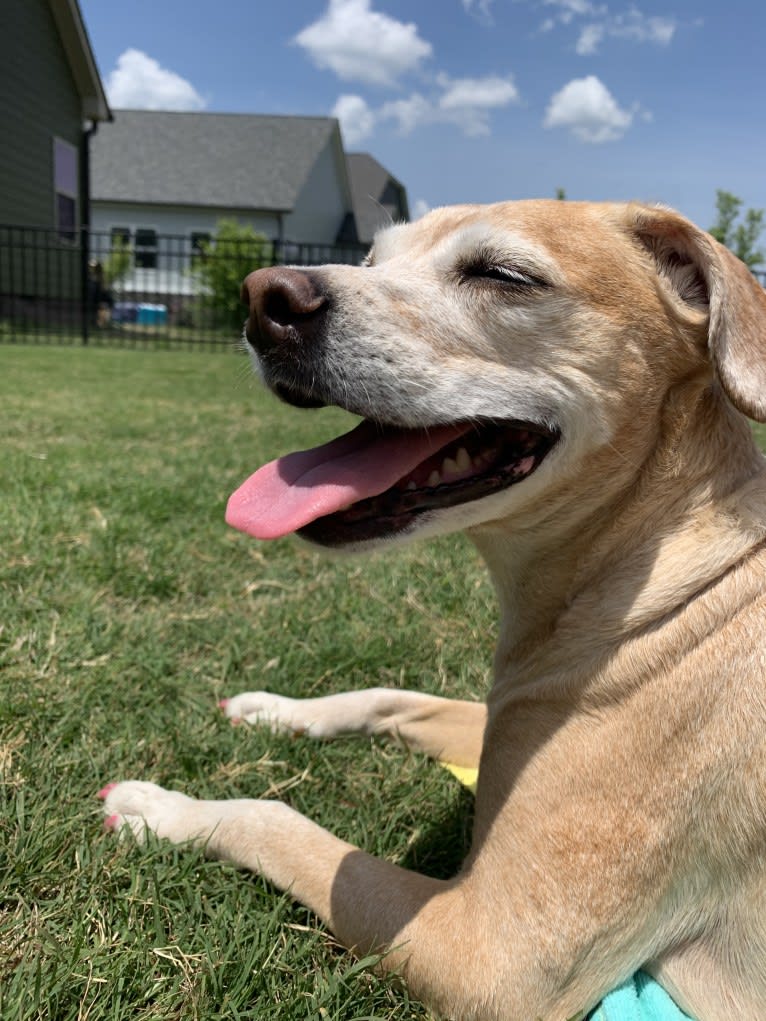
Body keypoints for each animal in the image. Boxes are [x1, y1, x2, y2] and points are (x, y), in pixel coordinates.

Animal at [102, 201, 766, 1021]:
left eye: (503, 274)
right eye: (371, 257)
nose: (264, 298)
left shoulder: (489, 953)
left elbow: (272, 817)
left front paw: (162, 810)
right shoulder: (502, 728)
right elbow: (391, 696)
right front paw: (273, 709)